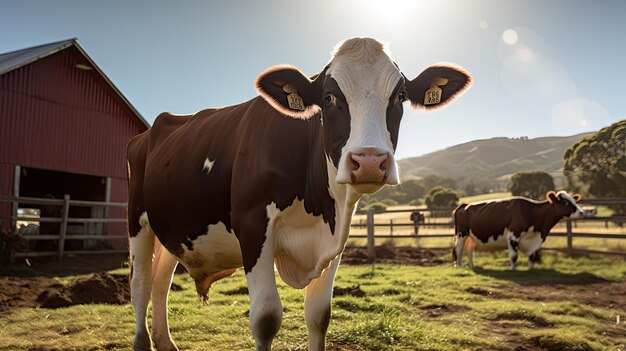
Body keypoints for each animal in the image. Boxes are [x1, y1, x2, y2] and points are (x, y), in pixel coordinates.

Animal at [127, 38, 468, 351]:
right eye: (329, 97)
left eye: (400, 97)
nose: (370, 162)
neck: (317, 206)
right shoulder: (253, 225)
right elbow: (265, 319)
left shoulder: (335, 237)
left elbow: (319, 315)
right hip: (137, 221)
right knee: (140, 284)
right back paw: (143, 340)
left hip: (173, 230)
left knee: (160, 283)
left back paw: (165, 342)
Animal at [450, 191, 584, 270]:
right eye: (566, 202)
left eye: (574, 200)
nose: (582, 212)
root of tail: (463, 205)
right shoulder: (513, 236)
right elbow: (514, 256)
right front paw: (512, 270)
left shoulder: (532, 240)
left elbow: (532, 257)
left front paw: (530, 270)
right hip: (461, 234)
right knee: (458, 250)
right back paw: (458, 266)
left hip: (472, 236)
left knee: (469, 250)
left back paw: (471, 266)